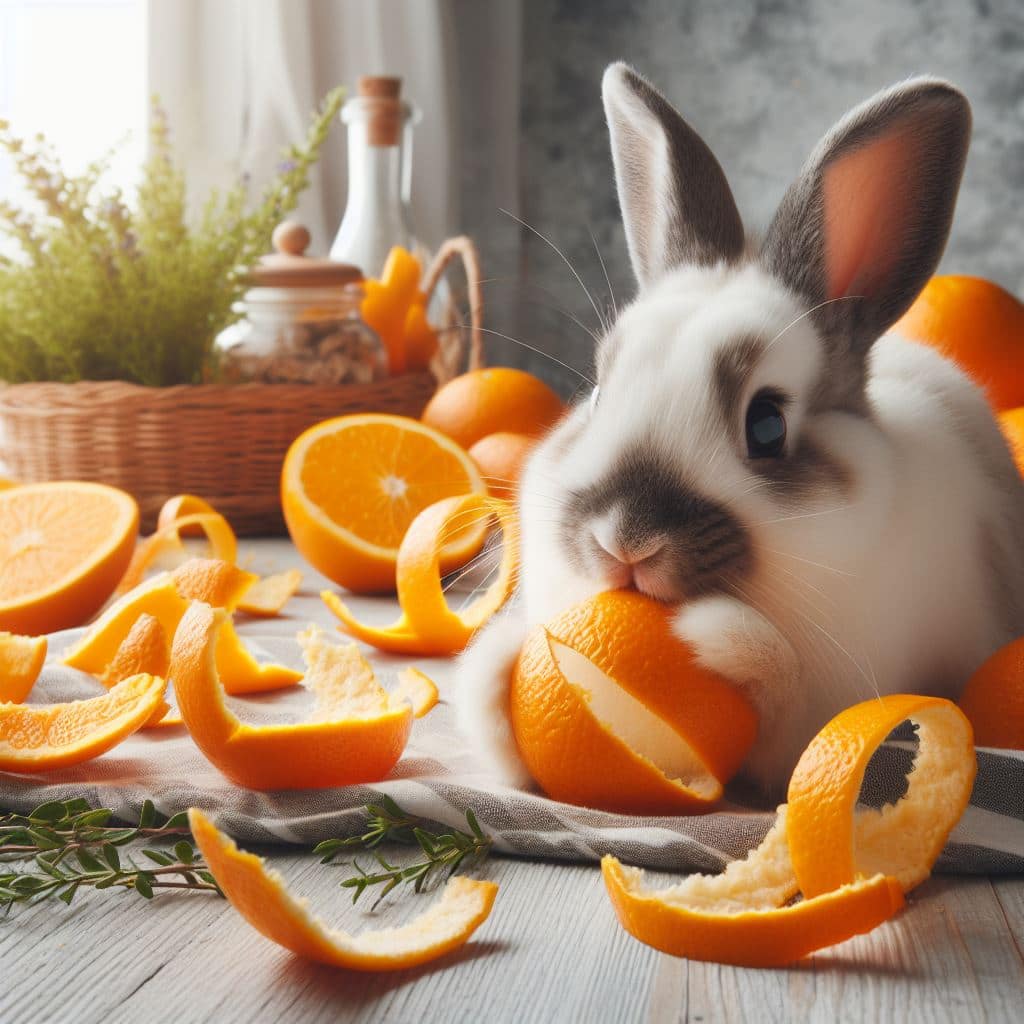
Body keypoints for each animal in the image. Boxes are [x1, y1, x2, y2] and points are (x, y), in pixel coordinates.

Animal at [456, 62, 1024, 796]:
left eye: (767, 424)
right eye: (600, 392)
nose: (625, 540)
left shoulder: (820, 718)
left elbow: (780, 697)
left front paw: (721, 638)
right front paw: (497, 662)